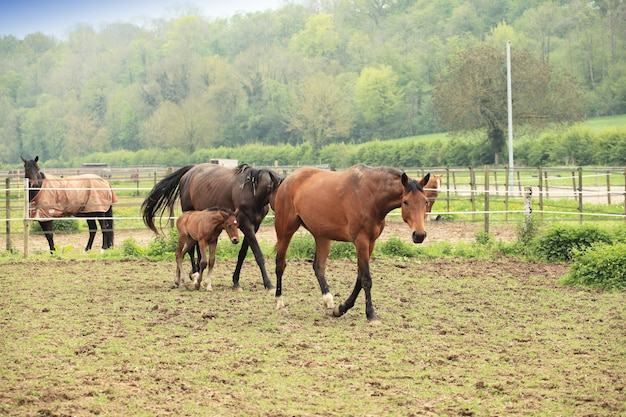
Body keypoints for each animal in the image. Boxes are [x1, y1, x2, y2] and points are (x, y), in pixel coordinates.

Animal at [141, 162, 280, 290]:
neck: (251, 192)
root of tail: (190, 170)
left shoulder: (254, 227)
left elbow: (242, 253)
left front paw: (236, 281)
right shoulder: (246, 225)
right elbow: (258, 254)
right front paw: (269, 284)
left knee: (195, 246)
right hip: (189, 214)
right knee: (189, 249)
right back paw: (195, 274)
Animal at [272, 162, 428, 322]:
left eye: (425, 201)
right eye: (405, 201)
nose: (419, 235)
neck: (371, 195)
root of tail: (287, 180)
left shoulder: (370, 243)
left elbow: (359, 278)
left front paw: (340, 309)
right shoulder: (361, 242)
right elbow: (366, 279)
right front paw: (371, 314)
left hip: (322, 236)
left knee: (318, 266)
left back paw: (328, 301)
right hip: (285, 232)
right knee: (280, 265)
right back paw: (280, 303)